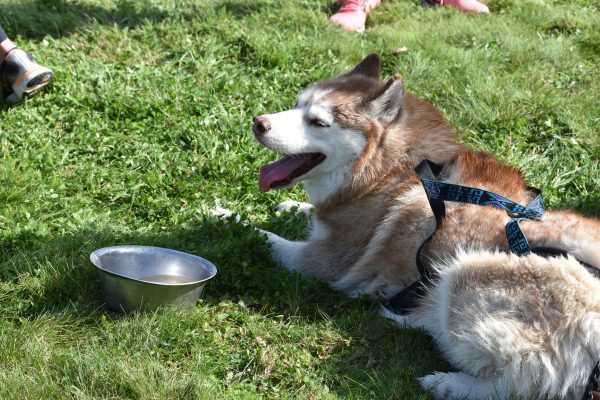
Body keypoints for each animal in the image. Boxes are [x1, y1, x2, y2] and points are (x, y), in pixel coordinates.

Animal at [245, 54, 600, 400]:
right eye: (296, 104)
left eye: (318, 122)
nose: (258, 123)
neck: (391, 173)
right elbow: (307, 215)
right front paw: (293, 206)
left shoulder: (328, 263)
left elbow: (262, 236)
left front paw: (233, 218)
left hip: (466, 272)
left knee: (516, 383)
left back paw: (448, 382)